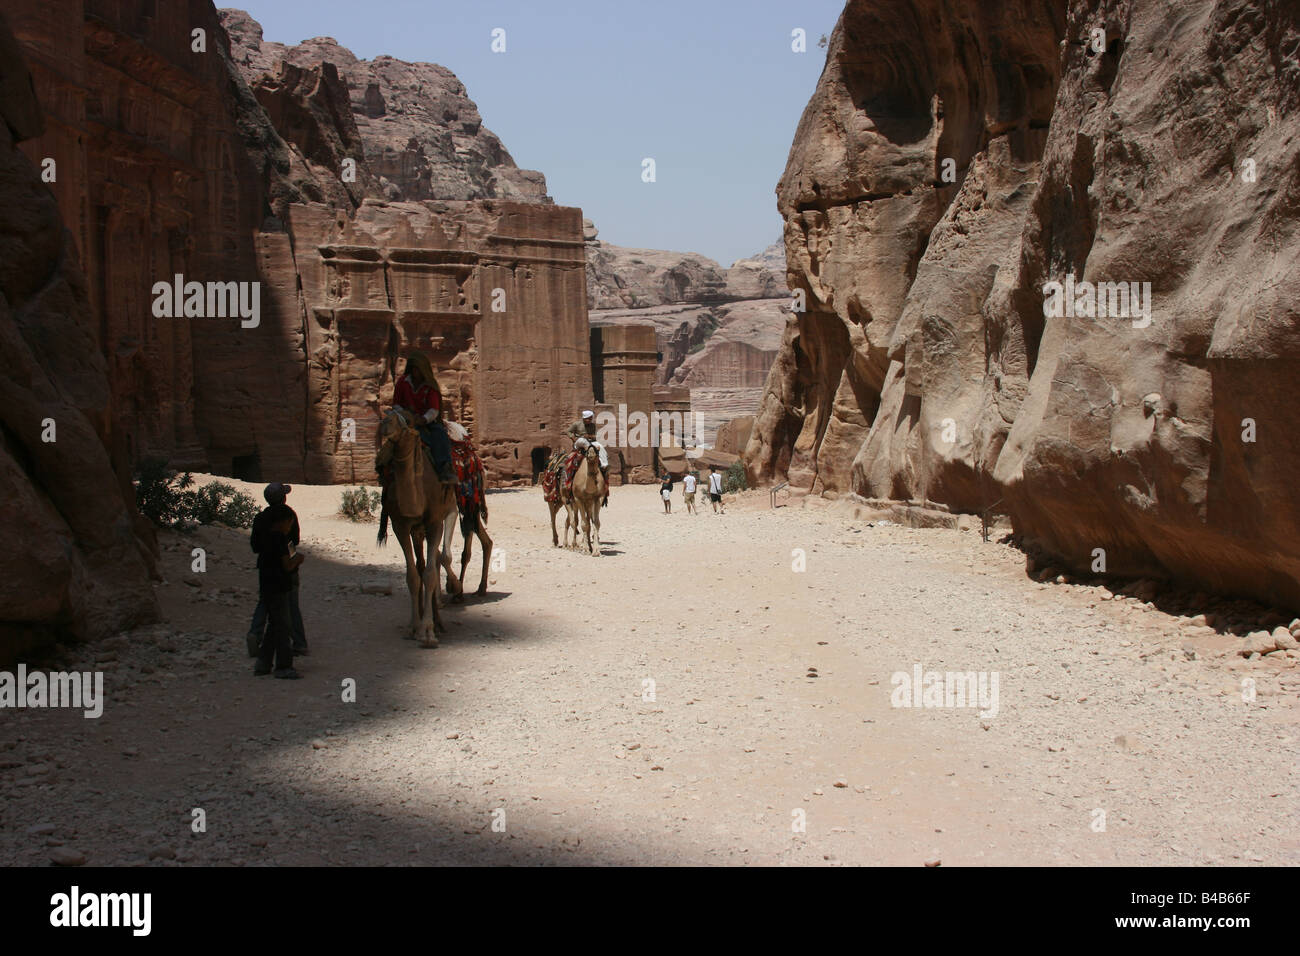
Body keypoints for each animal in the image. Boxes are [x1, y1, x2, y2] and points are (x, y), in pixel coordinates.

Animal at [374, 408, 460, 647]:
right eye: (388, 412)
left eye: (408, 419)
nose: (385, 424)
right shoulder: (400, 526)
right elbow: (413, 576)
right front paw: (414, 626)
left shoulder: (435, 522)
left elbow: (430, 573)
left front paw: (428, 631)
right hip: (416, 530)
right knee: (423, 564)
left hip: (450, 509)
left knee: (440, 557)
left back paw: (441, 614)